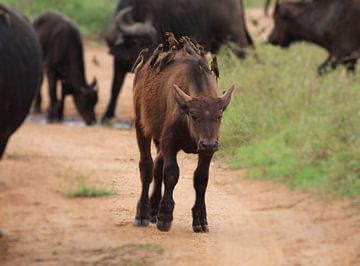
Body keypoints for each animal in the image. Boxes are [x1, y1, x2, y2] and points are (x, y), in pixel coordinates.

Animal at [102, 0, 253, 121]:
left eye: (154, 42)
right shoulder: (117, 61)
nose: (153, 61)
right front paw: (106, 115)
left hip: (234, 37)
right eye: (139, 43)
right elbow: (115, 87)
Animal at [132, 34, 233, 232]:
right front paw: (165, 216)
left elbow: (201, 179)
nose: (208, 143)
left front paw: (200, 219)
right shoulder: (169, 141)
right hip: (141, 128)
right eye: (194, 115)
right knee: (147, 167)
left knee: (157, 166)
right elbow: (171, 173)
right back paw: (143, 213)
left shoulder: (207, 151)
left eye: (219, 116)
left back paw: (153, 209)